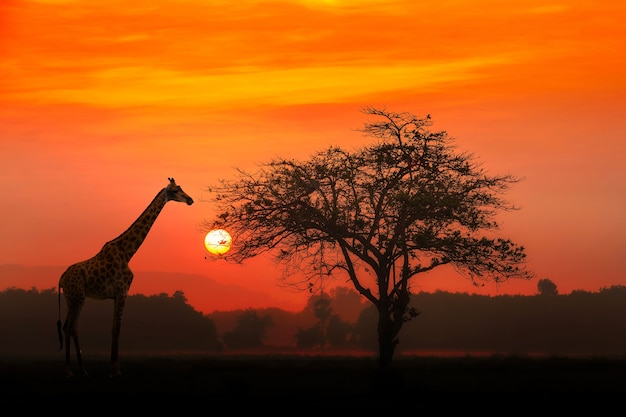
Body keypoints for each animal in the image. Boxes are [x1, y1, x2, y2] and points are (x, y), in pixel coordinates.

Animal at [56, 176, 193, 376]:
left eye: (181, 188)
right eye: (175, 191)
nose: (190, 200)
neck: (127, 252)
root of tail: (61, 279)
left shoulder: (118, 294)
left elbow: (114, 328)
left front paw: (113, 368)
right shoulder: (122, 291)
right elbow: (116, 329)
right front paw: (116, 369)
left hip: (74, 298)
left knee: (73, 327)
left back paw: (83, 369)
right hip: (76, 297)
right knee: (68, 328)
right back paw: (68, 371)